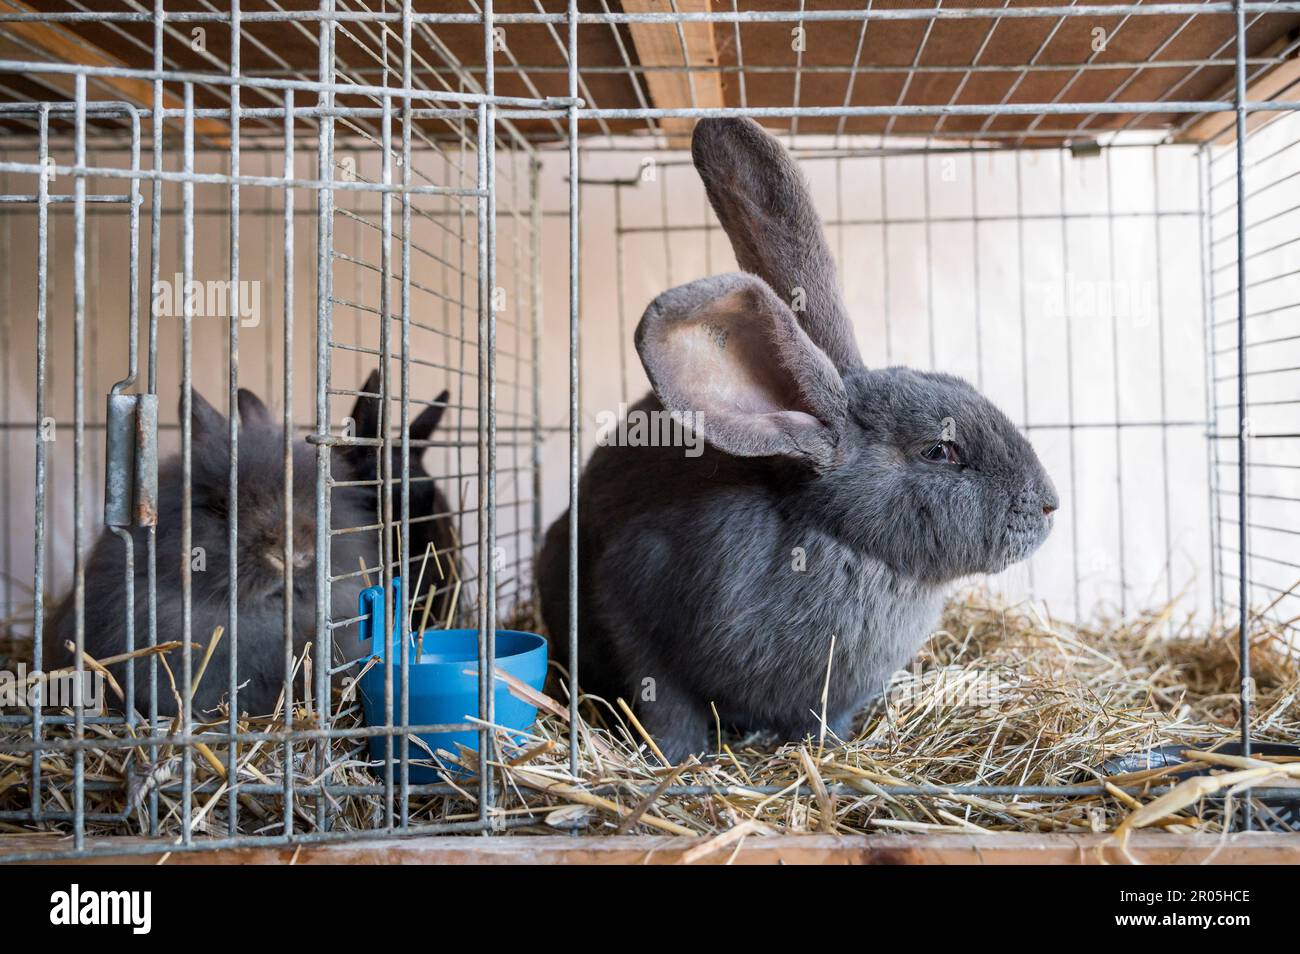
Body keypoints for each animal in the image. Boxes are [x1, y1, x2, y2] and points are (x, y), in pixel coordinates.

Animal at [535, 117, 1055, 764]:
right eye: (941, 451)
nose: (1050, 505)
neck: (844, 543)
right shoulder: (633, 603)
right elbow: (668, 706)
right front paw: (679, 759)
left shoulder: (839, 694)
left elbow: (823, 722)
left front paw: (827, 749)